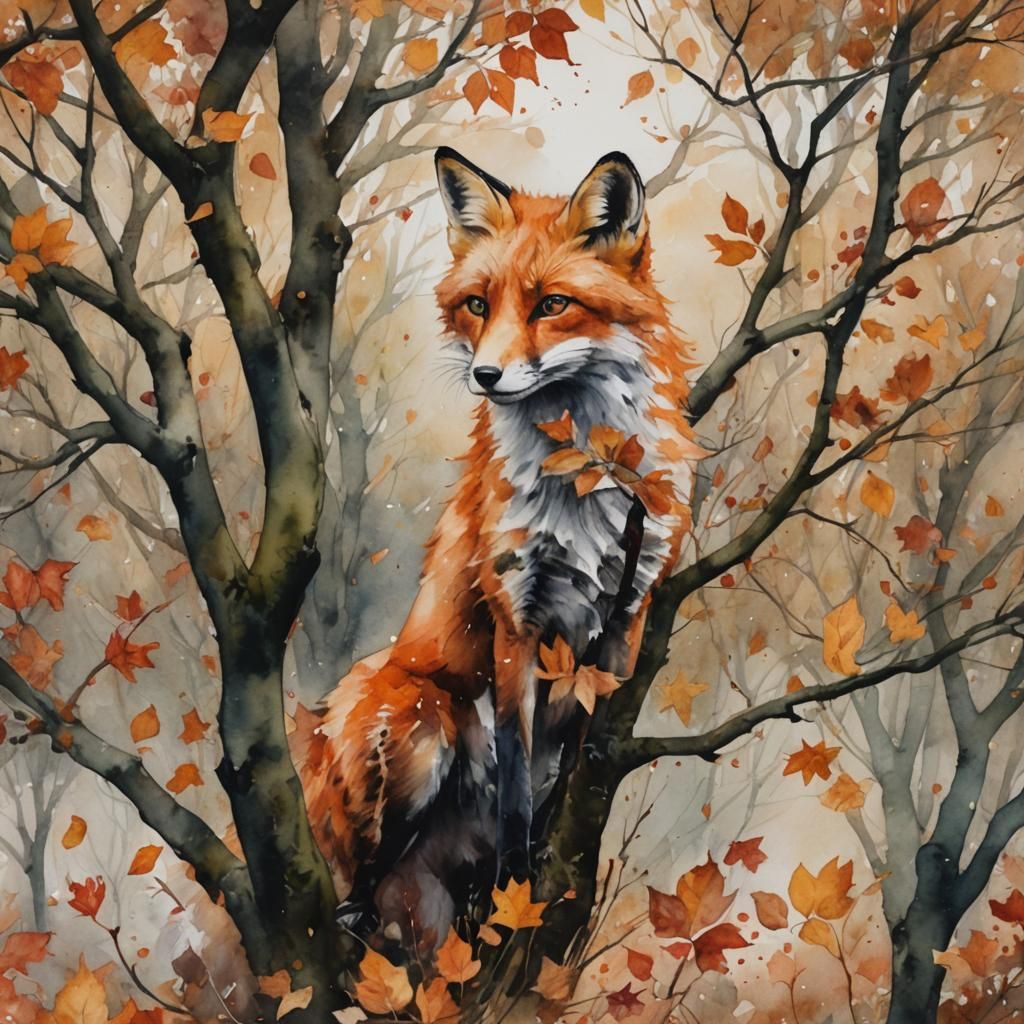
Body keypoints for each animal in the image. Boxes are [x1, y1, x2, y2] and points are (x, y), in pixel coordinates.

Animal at [300, 147, 703, 943]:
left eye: (552, 305)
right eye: (478, 306)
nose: (486, 375)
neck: (582, 485)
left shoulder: (627, 616)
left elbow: (576, 765)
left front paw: (558, 867)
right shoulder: (516, 618)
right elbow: (518, 781)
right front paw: (520, 881)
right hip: (426, 728)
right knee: (361, 885)